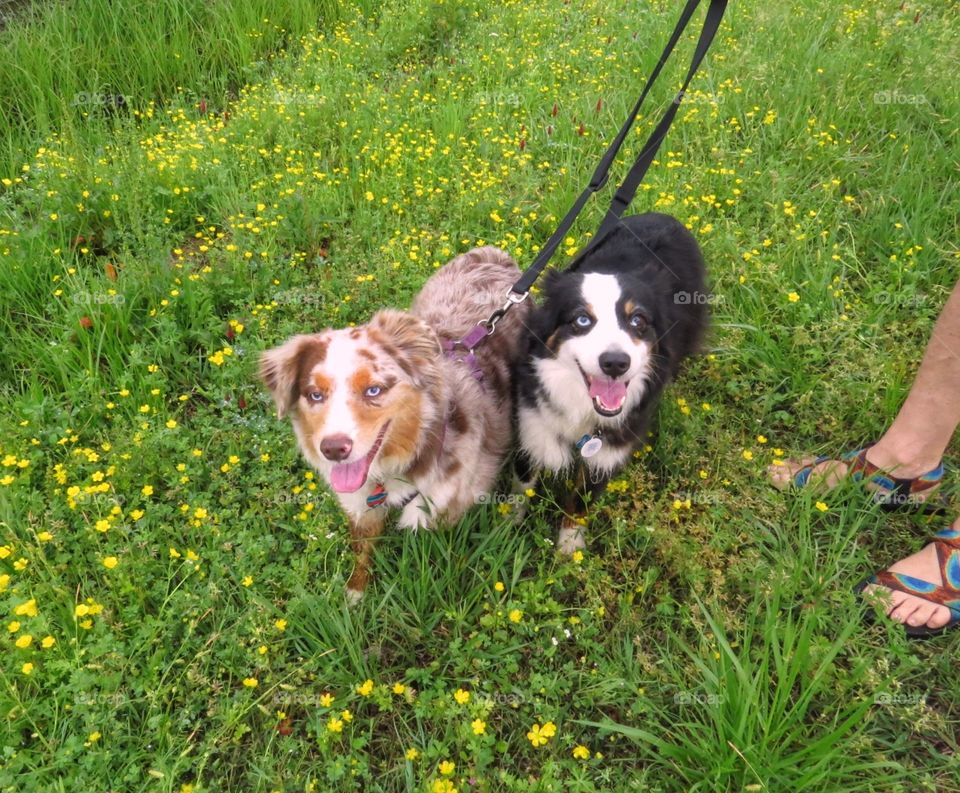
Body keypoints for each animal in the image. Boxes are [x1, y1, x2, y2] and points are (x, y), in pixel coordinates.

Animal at [512, 213, 708, 552]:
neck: (582, 410)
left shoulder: (608, 448)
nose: (616, 363)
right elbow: (523, 481)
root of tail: (665, 216)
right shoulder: (532, 422)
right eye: (581, 320)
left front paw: (569, 549)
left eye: (638, 320)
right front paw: (505, 523)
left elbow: (581, 500)